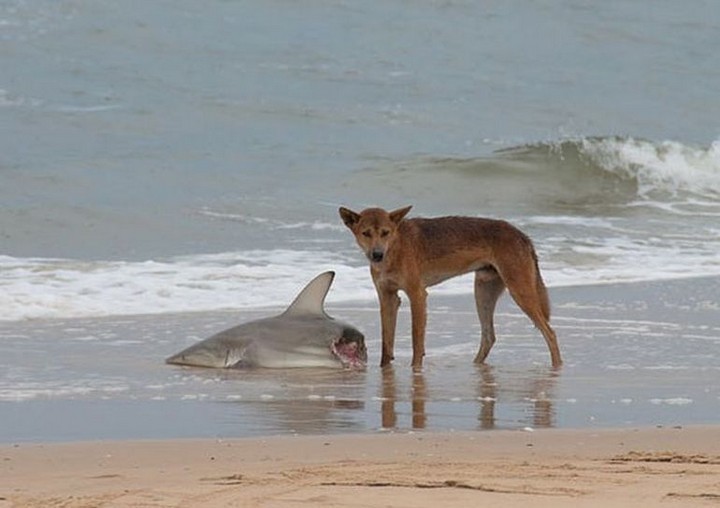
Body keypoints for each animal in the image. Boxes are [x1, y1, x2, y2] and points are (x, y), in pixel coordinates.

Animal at [338, 206, 564, 370]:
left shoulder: (417, 295)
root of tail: (523, 236)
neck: (395, 248)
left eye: (385, 233)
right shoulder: (388, 298)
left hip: (520, 292)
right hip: (483, 293)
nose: (377, 254)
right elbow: (387, 342)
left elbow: (416, 341)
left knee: (550, 333)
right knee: (489, 336)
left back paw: (557, 367)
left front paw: (416, 370)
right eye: (366, 233)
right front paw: (384, 369)